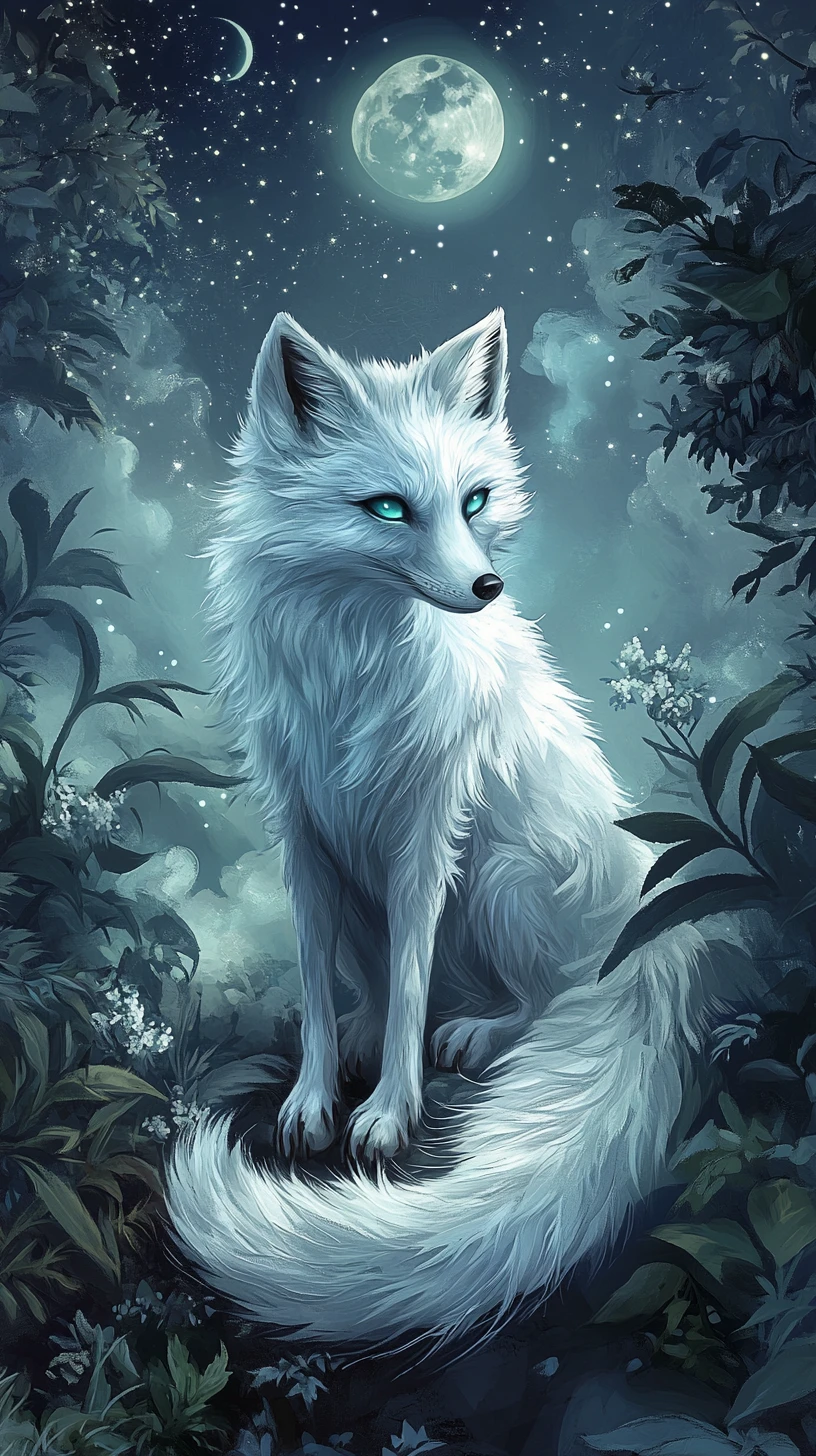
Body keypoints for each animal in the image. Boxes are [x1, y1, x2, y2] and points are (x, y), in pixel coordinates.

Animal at [165, 308, 763, 1349]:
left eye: (474, 499)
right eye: (388, 508)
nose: (486, 588)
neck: (352, 667)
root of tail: (658, 943)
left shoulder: (425, 833)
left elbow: (410, 981)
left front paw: (387, 1115)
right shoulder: (304, 835)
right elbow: (326, 984)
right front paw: (316, 1096)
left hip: (499, 876)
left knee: (535, 1005)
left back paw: (478, 1036)